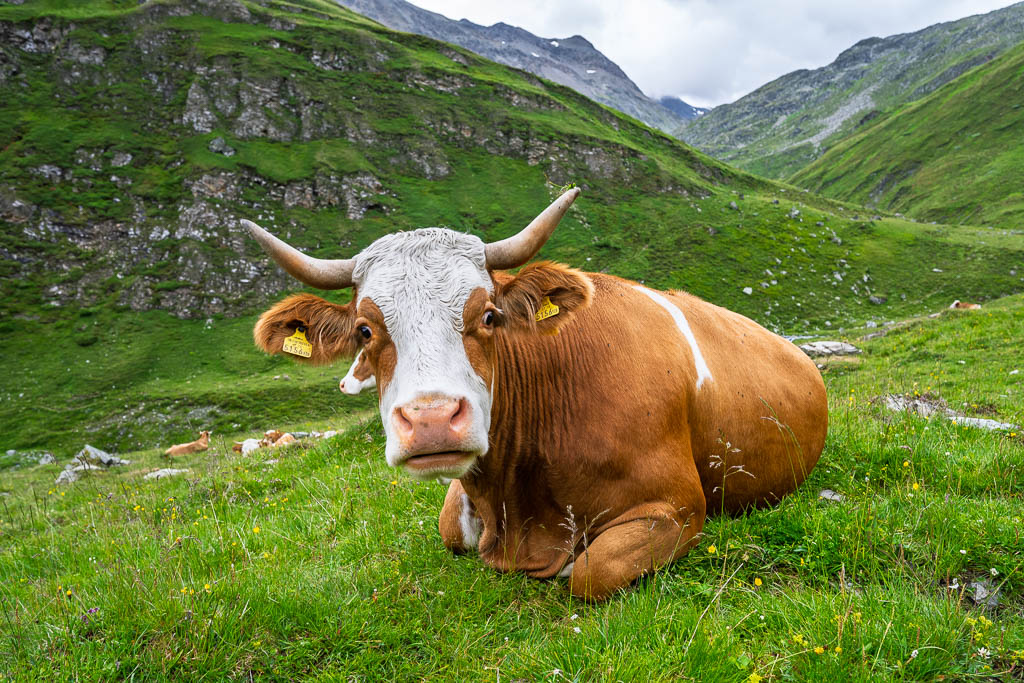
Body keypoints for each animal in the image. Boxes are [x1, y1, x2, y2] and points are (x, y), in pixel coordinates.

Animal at [243, 188, 828, 600]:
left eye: (488, 316)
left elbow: (591, 569)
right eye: (365, 330)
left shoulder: (679, 506)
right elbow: (448, 527)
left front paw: (570, 562)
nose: (432, 420)